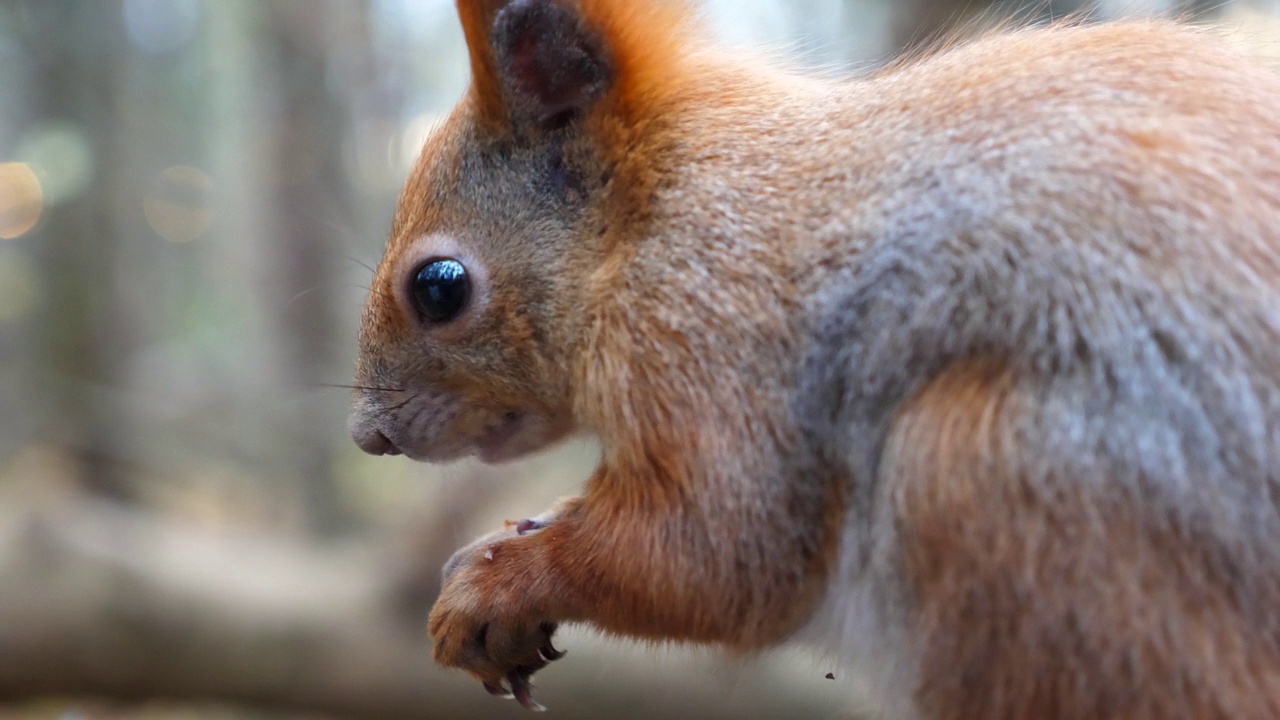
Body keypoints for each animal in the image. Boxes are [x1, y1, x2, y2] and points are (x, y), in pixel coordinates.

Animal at [345, 2, 1280, 712]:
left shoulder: (709, 326)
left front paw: (500, 582)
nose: (368, 437)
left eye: (439, 287)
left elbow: (717, 550)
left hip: (999, 485)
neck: (650, 217)